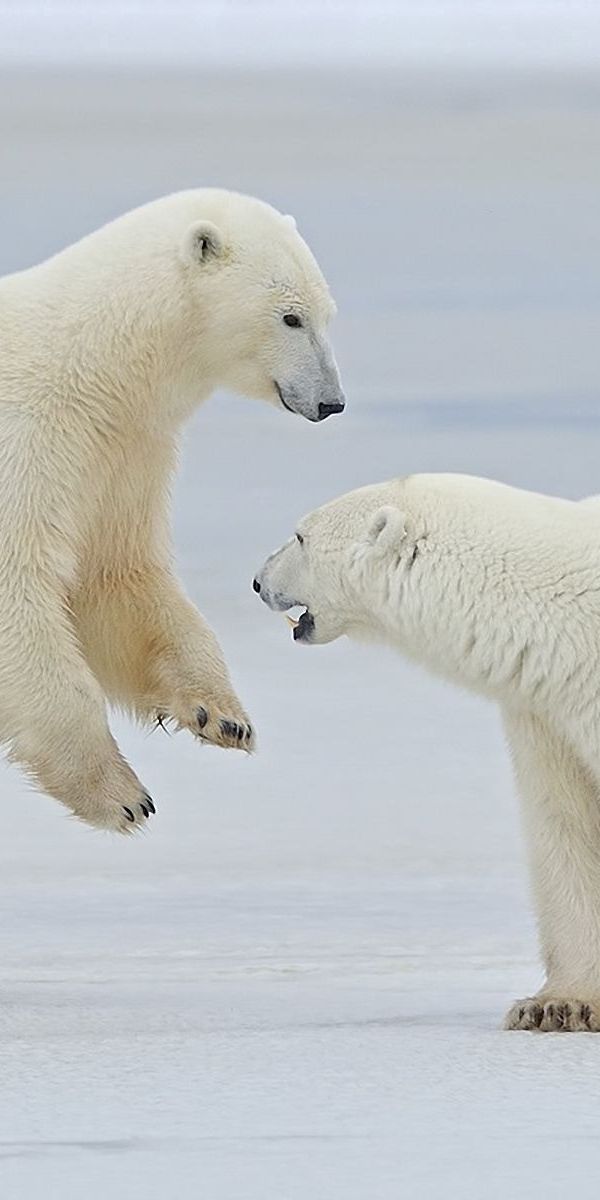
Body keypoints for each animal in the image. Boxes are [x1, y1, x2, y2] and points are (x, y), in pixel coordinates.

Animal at [0, 189, 344, 832]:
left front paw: (221, 714)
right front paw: (119, 793)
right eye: (291, 317)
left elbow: (115, 576)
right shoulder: (27, 443)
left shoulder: (121, 452)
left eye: (326, 314)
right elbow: (20, 589)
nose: (332, 402)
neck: (92, 362)